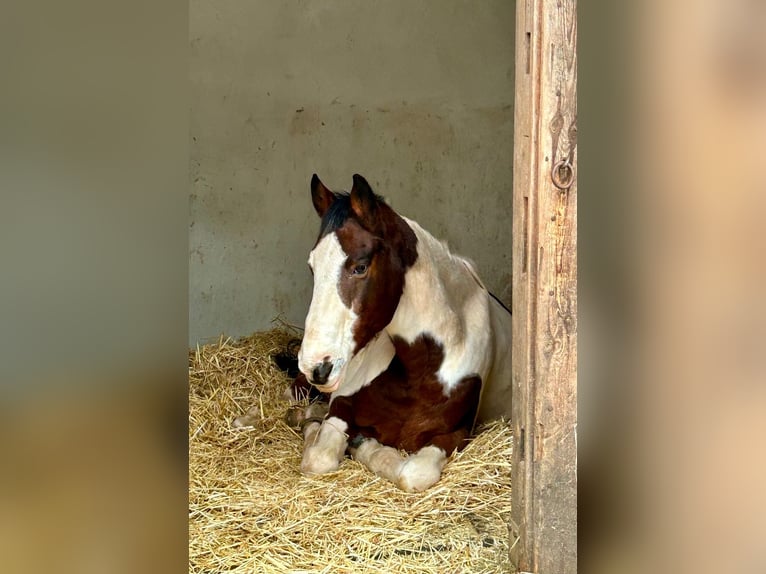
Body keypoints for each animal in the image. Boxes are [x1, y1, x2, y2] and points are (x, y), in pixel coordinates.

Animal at [296, 173, 512, 492]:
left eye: (360, 266)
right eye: (312, 268)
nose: (315, 367)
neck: (421, 367)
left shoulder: (456, 433)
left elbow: (413, 474)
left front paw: (364, 445)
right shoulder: (341, 404)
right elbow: (318, 458)